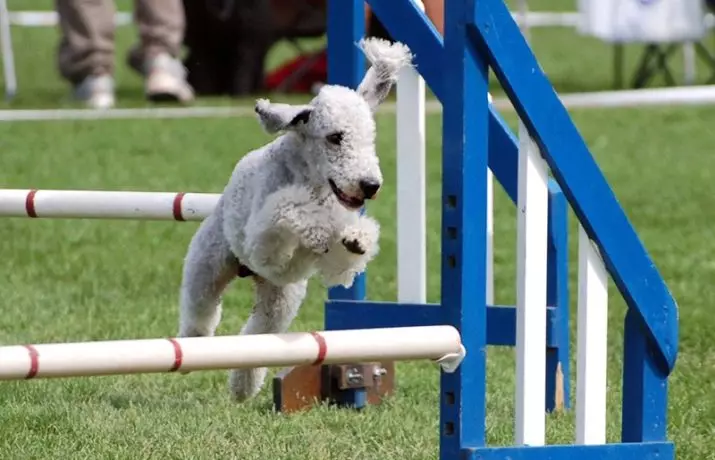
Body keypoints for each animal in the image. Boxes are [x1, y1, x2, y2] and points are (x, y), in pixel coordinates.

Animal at [177, 37, 416, 400]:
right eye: (335, 137)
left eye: (369, 139)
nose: (370, 185)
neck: (313, 183)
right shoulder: (262, 238)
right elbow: (288, 207)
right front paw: (317, 229)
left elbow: (342, 259)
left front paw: (357, 239)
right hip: (208, 266)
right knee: (201, 313)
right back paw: (194, 351)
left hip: (279, 299)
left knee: (257, 334)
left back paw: (243, 387)